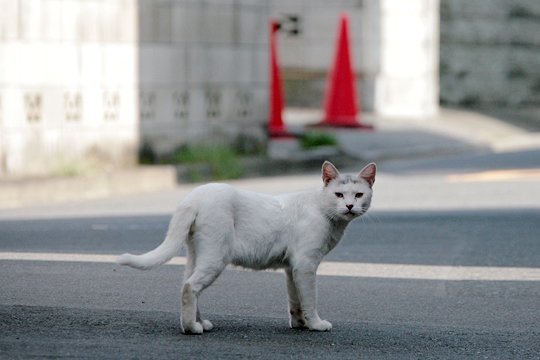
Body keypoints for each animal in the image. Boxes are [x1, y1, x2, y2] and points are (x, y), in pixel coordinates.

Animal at [117, 160, 376, 334]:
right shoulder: (305, 265)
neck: (324, 211)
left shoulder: (292, 268)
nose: (350, 206)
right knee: (190, 287)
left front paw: (299, 324)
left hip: (196, 255)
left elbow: (295, 300)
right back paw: (191, 328)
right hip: (215, 256)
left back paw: (199, 323)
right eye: (339, 194)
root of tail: (193, 197)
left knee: (186, 284)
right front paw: (315, 324)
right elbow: (310, 299)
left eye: (359, 194)